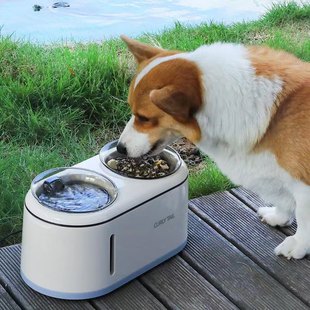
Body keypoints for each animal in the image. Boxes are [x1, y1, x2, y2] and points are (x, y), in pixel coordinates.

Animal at [117, 35, 310, 260]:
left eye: (144, 118)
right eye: (133, 111)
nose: (120, 148)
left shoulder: (303, 182)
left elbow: (303, 217)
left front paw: (298, 245)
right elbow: (285, 201)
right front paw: (279, 217)